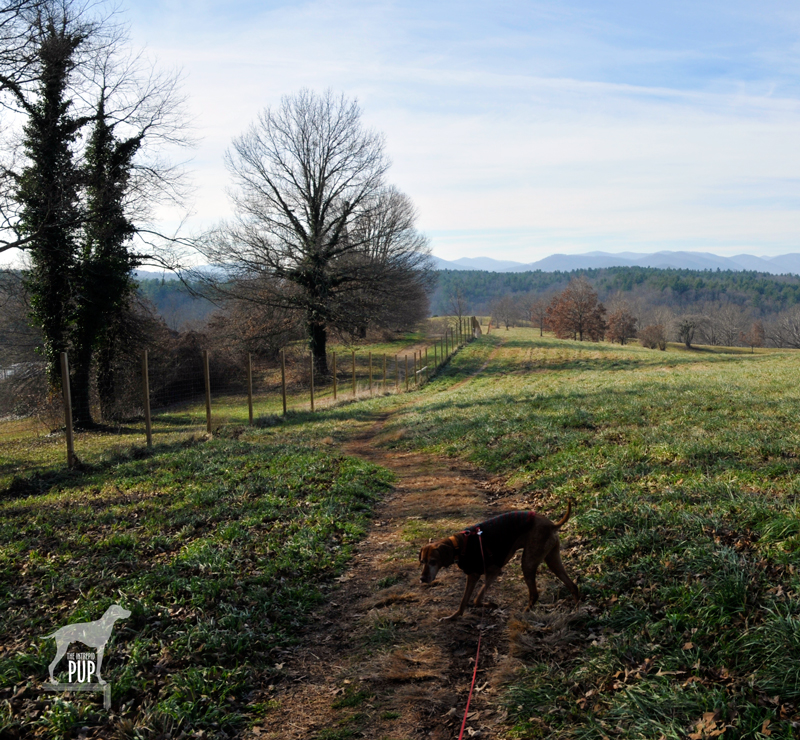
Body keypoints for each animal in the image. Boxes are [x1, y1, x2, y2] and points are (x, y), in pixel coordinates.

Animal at [416, 502, 580, 620]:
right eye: (422, 561)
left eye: (433, 561)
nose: (422, 579)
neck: (459, 545)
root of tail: (552, 525)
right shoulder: (472, 576)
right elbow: (464, 601)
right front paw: (453, 617)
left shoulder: (493, 571)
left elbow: (476, 599)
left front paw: (491, 604)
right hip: (553, 560)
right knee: (573, 586)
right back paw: (577, 612)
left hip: (527, 563)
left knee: (534, 594)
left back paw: (523, 614)